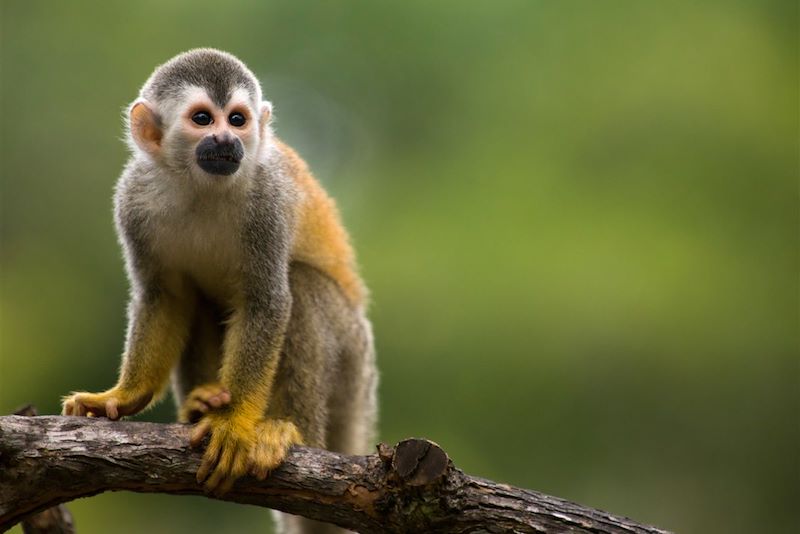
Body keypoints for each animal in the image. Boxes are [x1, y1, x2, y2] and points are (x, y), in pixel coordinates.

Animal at [59, 48, 378, 532]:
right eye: (203, 119)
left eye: (238, 119)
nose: (228, 140)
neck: (200, 185)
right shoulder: (132, 199)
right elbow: (164, 297)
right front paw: (123, 396)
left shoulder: (268, 199)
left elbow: (267, 301)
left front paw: (233, 423)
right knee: (196, 299)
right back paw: (202, 401)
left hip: (354, 369)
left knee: (301, 287)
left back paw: (287, 430)